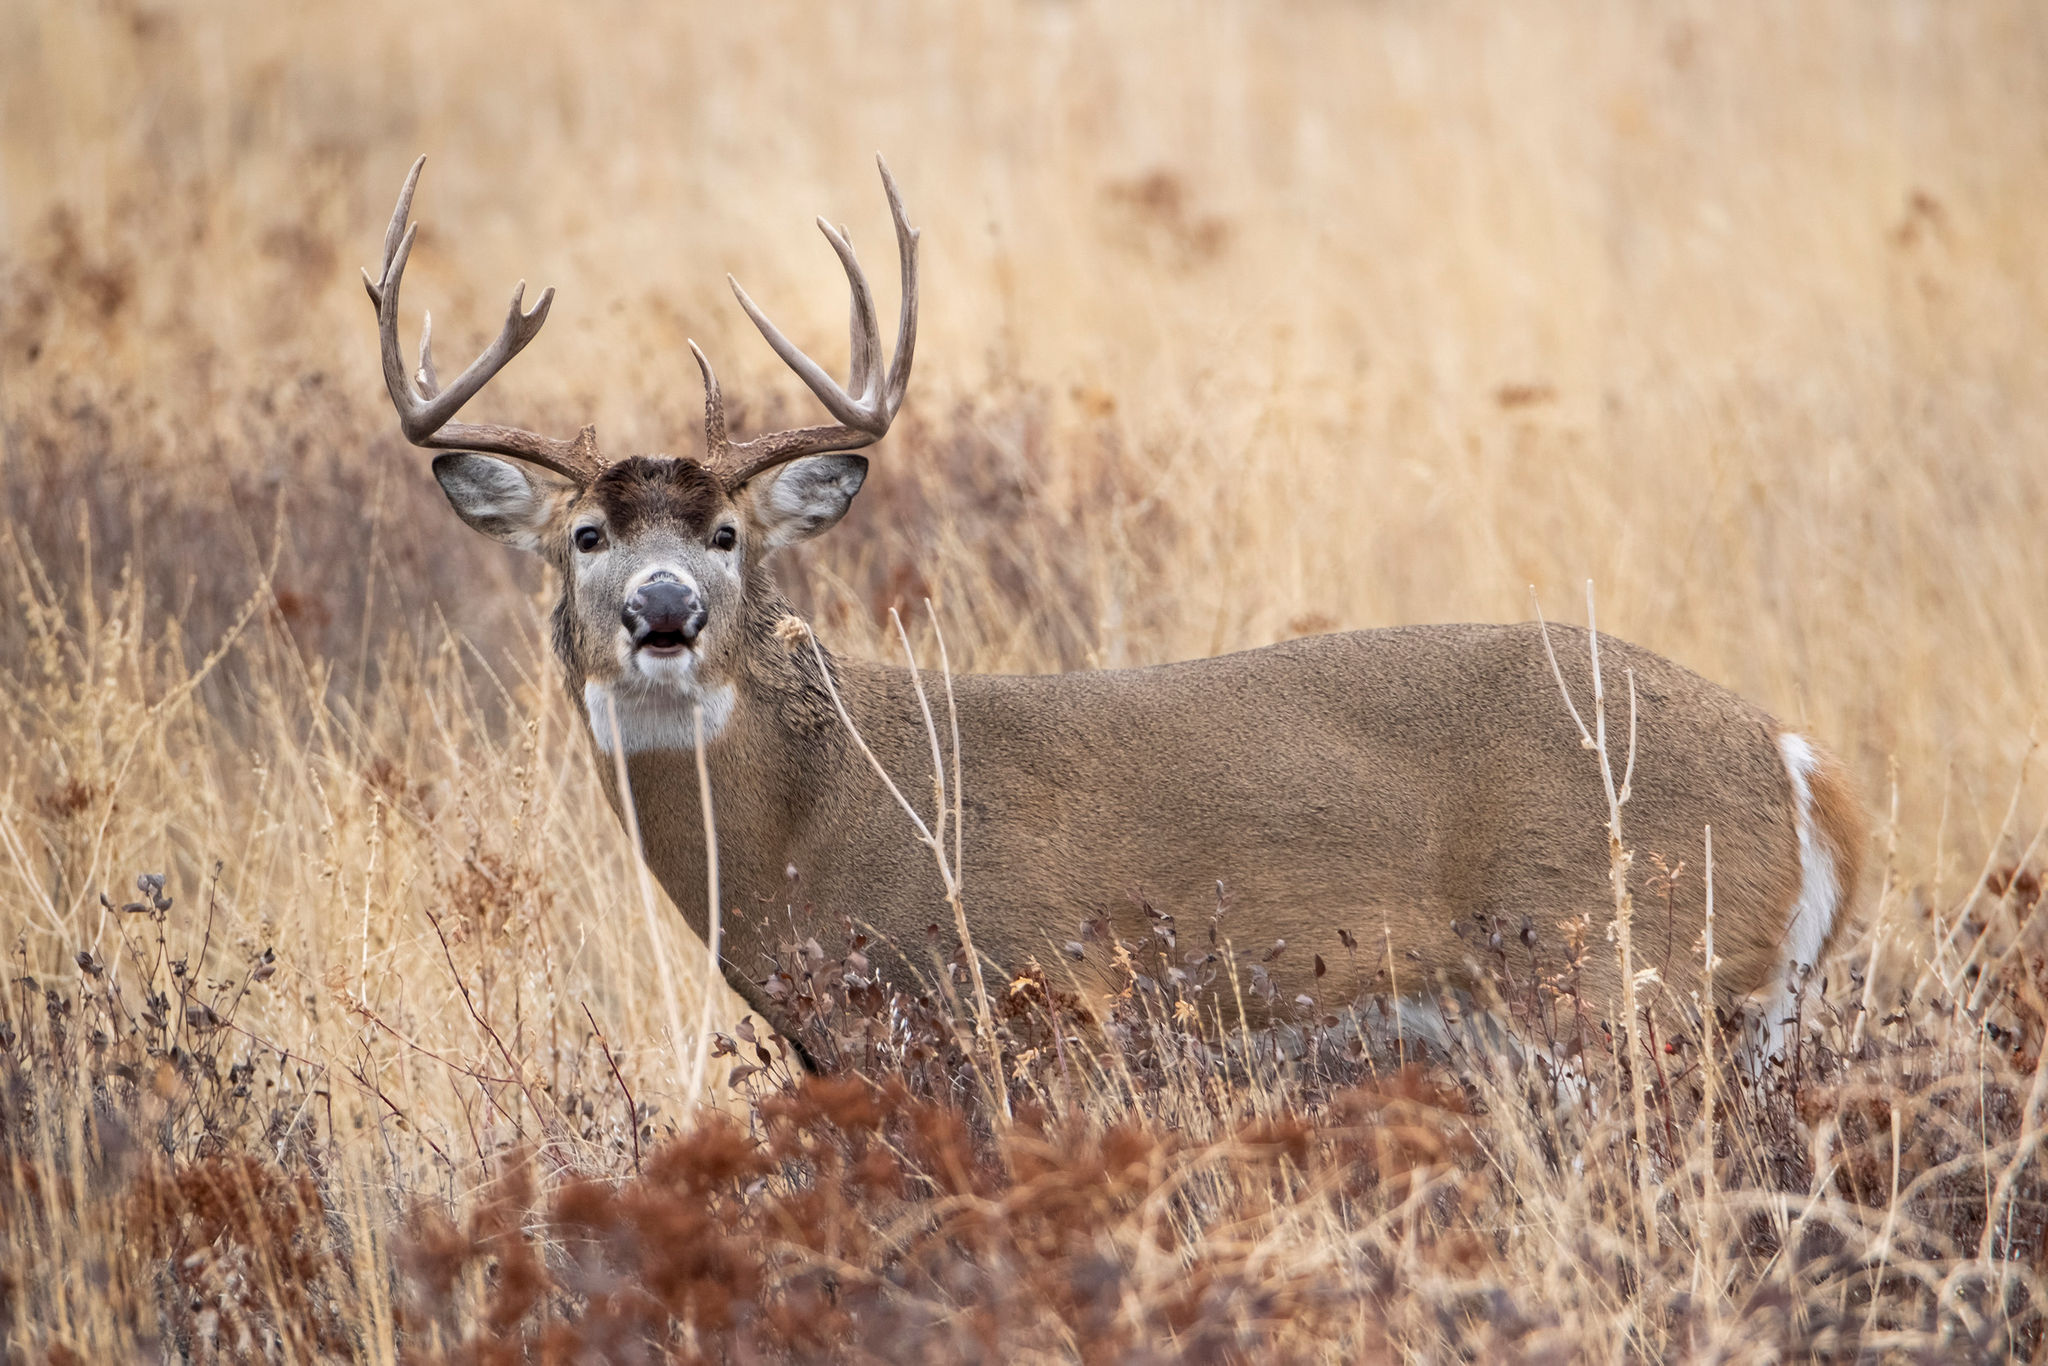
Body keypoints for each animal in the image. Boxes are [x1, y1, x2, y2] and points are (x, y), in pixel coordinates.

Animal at [360, 160, 1867, 1073]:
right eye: (586, 536)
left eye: (727, 535)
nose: (664, 610)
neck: (819, 821)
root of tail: (1804, 769)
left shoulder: (1026, 1002)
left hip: (1616, 975)